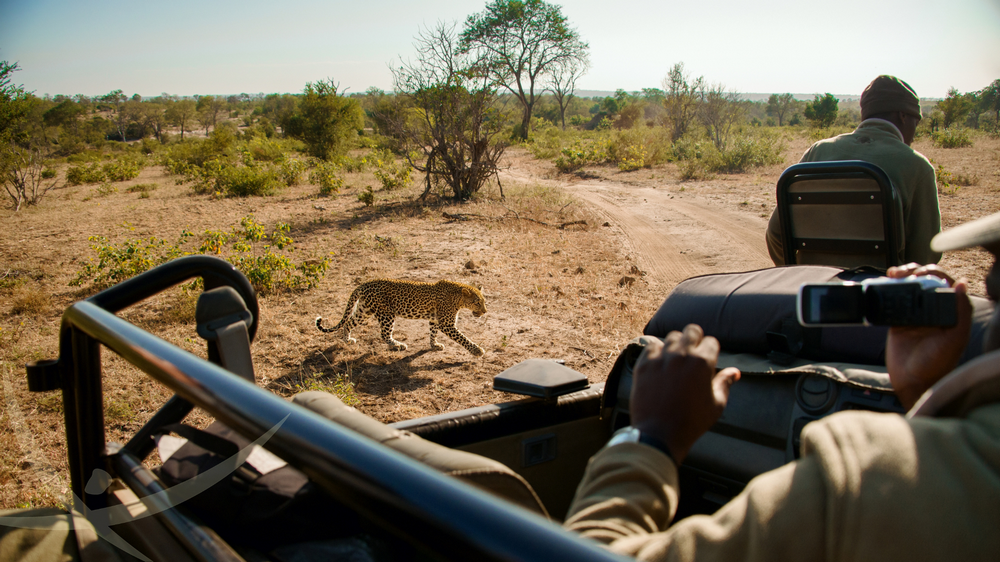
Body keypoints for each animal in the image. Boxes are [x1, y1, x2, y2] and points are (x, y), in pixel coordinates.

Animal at [312, 276, 484, 352]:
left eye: (483, 301)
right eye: (477, 303)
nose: (485, 311)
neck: (458, 298)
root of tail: (365, 284)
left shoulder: (435, 320)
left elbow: (433, 333)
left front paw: (434, 345)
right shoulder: (446, 324)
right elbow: (462, 338)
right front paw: (477, 351)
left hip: (364, 309)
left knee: (348, 322)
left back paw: (347, 340)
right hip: (386, 314)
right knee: (384, 335)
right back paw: (398, 345)